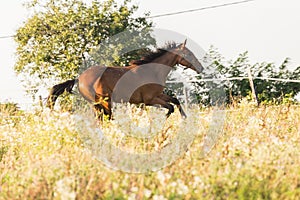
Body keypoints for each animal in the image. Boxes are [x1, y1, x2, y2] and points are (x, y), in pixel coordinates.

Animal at [46, 39, 204, 119]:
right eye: (188, 54)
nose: (201, 68)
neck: (152, 71)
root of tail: (79, 78)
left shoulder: (158, 95)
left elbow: (175, 101)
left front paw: (184, 118)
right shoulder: (150, 100)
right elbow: (170, 107)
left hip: (97, 104)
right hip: (104, 102)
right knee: (107, 118)